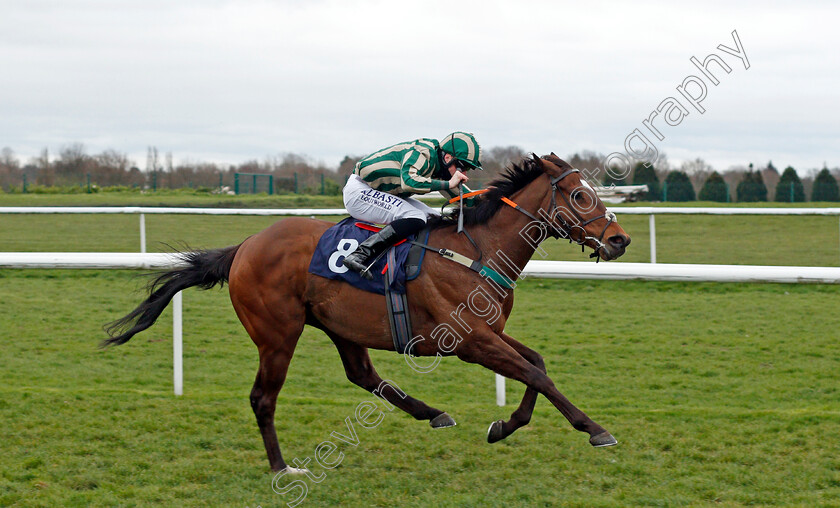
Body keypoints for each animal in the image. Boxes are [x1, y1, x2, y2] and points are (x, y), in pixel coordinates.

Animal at [105, 154, 632, 472]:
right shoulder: (469, 341)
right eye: (580, 195)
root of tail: (245, 247)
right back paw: (281, 466)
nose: (620, 239)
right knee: (262, 398)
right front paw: (595, 430)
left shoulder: (489, 331)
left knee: (361, 373)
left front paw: (505, 426)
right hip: (277, 334)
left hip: (338, 324)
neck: (476, 248)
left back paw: (433, 413)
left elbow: (535, 364)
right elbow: (536, 374)